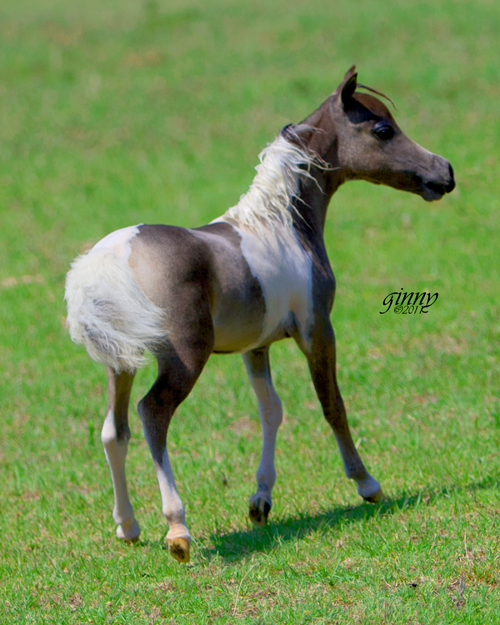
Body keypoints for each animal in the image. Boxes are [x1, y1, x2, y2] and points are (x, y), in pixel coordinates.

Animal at [64, 67, 456, 560]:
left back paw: (128, 526)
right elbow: (332, 405)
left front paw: (261, 501)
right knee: (152, 414)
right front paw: (367, 483)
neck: (281, 223)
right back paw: (177, 529)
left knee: (114, 431)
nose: (445, 172)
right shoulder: (317, 331)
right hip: (183, 358)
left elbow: (271, 410)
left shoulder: (258, 346)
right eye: (384, 129)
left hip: (121, 363)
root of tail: (106, 262)